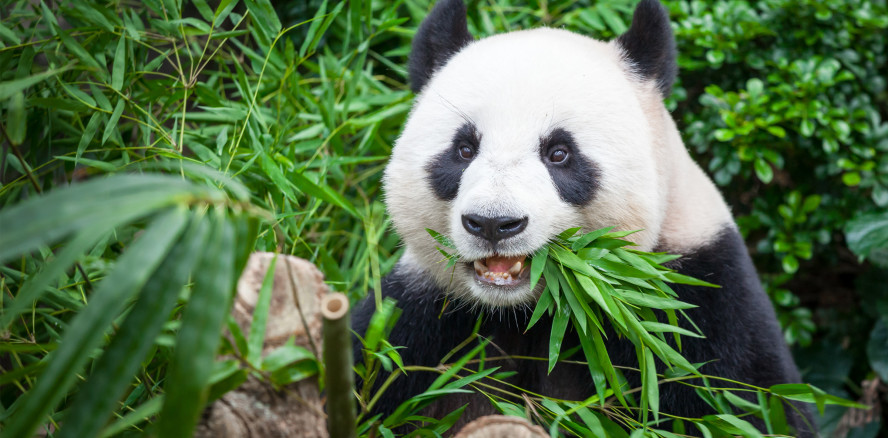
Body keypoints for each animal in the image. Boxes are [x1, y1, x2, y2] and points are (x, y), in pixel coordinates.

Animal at [352, 0, 816, 435]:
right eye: (464, 149)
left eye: (559, 153)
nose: (493, 224)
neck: (534, 311)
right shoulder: (419, 319)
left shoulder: (697, 300)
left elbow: (743, 399)